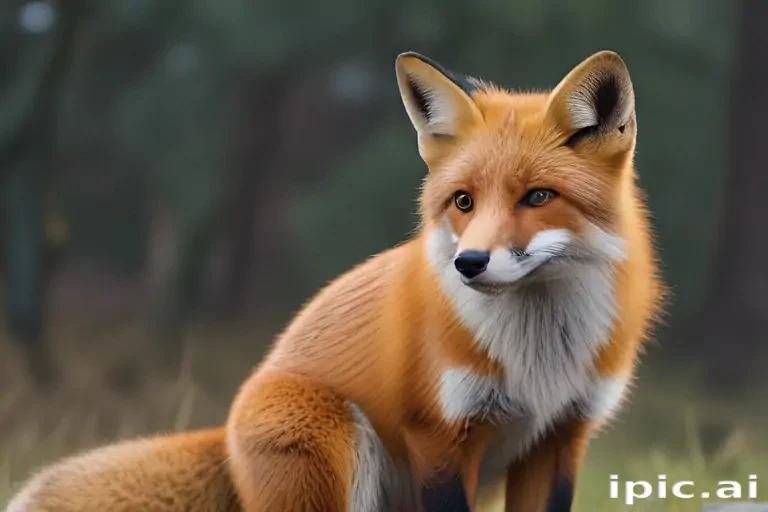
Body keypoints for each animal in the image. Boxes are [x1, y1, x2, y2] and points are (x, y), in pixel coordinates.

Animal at [7, 50, 662, 512]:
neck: (539, 358)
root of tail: (225, 431)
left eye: (538, 197)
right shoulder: (440, 439)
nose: (469, 263)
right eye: (464, 201)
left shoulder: (558, 439)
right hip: (337, 444)